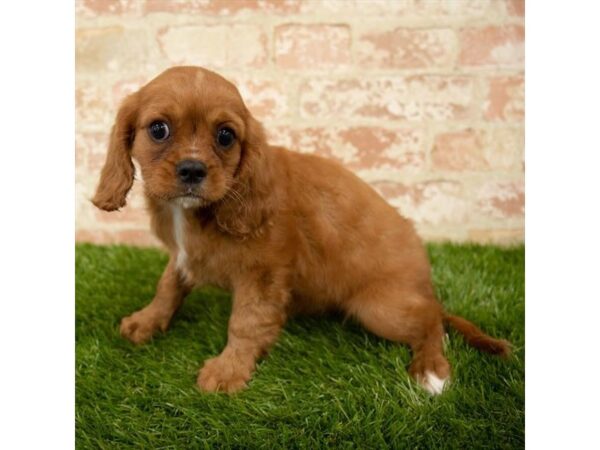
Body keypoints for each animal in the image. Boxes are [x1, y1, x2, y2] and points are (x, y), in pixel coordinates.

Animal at [91, 66, 508, 394]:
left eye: (225, 136)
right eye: (158, 129)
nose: (192, 170)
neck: (199, 211)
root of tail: (425, 283)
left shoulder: (262, 276)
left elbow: (246, 323)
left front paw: (228, 370)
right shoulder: (182, 257)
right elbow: (167, 287)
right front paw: (147, 321)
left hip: (379, 308)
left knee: (431, 321)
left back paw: (431, 370)